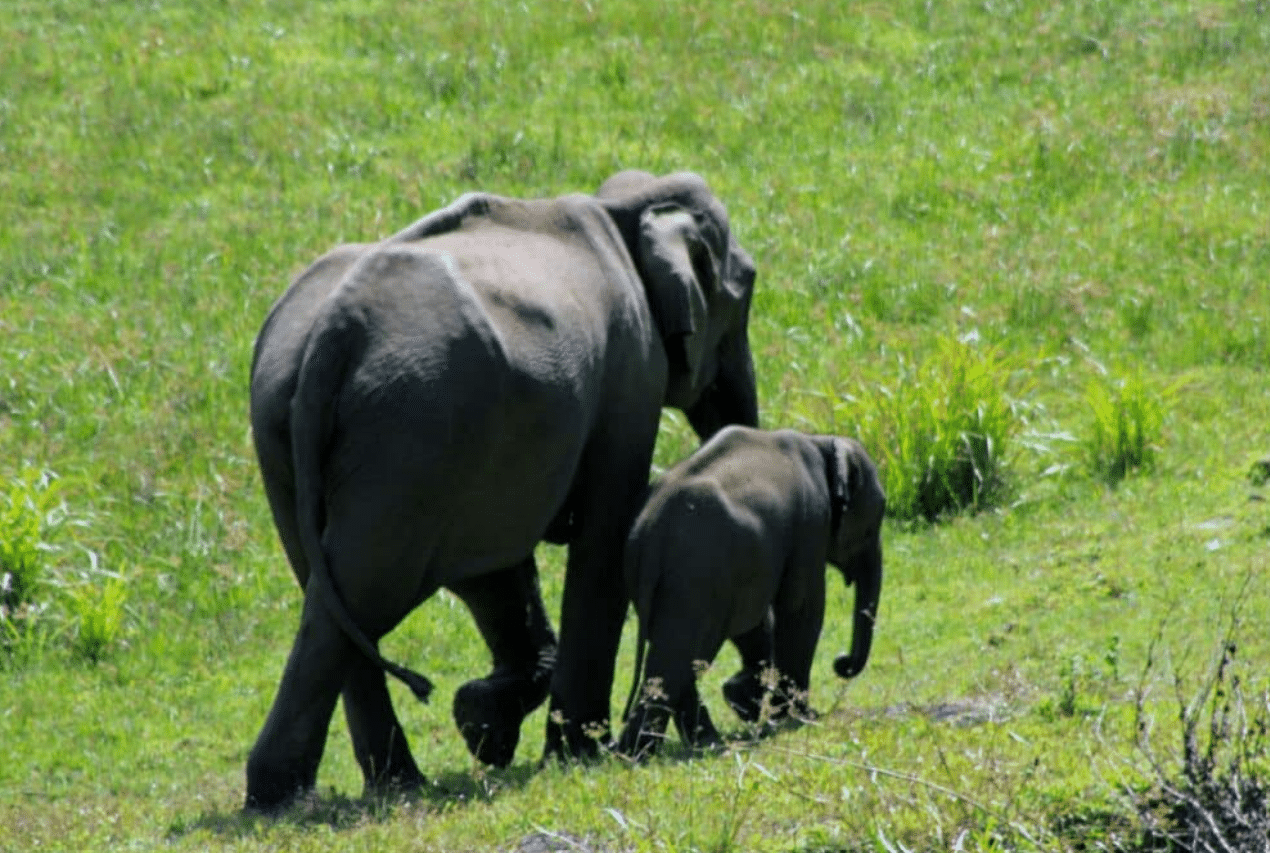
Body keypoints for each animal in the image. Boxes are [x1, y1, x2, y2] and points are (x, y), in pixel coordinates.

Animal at [245, 170, 759, 810]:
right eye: (748, 288)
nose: (746, 693)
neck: (622, 207)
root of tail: (330, 335)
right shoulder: (630, 368)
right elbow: (603, 531)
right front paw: (574, 751)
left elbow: (495, 570)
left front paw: (482, 724)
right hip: (414, 426)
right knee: (363, 590)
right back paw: (302, 794)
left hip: (298, 431)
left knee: (332, 594)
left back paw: (367, 787)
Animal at [615, 426, 885, 760]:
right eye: (872, 528)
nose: (842, 662)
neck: (822, 442)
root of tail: (651, 534)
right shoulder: (811, 520)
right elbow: (802, 608)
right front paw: (800, 717)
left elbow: (755, 622)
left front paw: (744, 702)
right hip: (696, 577)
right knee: (682, 656)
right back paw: (651, 751)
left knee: (676, 656)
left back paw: (666, 746)